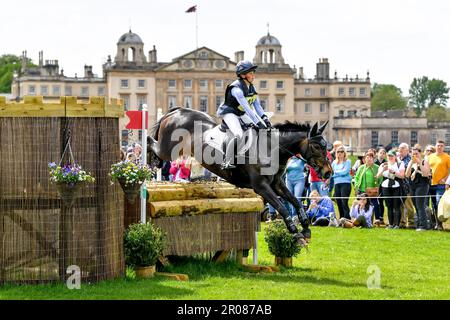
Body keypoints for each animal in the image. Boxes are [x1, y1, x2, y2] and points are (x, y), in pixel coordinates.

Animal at [147, 106, 330, 244]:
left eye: (326, 146)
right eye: (316, 147)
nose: (328, 172)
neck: (272, 148)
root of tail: (177, 112)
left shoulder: (277, 184)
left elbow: (296, 201)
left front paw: (305, 227)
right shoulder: (261, 187)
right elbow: (282, 206)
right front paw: (295, 231)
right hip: (168, 148)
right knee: (150, 141)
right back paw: (151, 164)